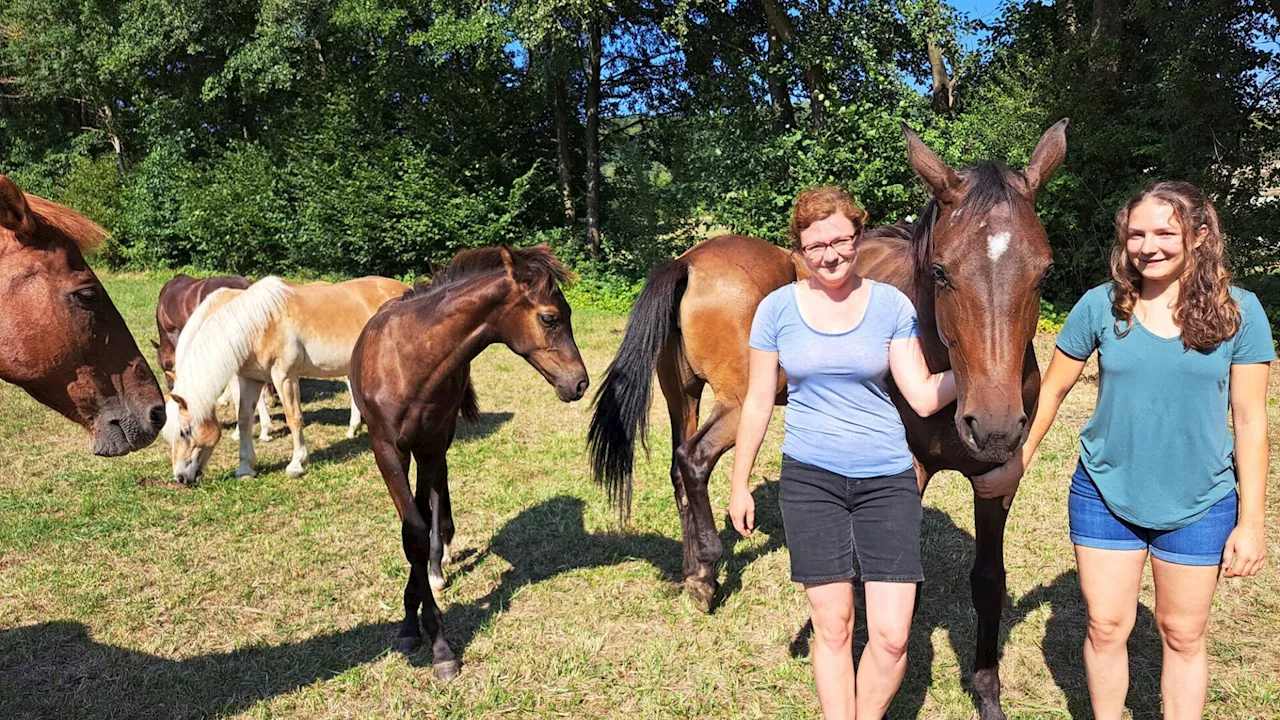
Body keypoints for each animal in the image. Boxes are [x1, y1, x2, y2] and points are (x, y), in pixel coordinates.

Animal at [350, 242, 588, 676]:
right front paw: (415, 630)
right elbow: (411, 531)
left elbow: (421, 520)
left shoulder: (429, 443)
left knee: (436, 493)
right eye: (550, 318)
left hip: (440, 438)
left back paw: (439, 560)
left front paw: (435, 637)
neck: (409, 359)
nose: (579, 383)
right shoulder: (387, 450)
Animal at [588, 120, 1070, 712]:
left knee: (680, 467)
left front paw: (986, 692)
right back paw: (706, 571)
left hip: (684, 395)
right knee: (695, 459)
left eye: (1044, 272)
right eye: (941, 272)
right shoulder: (907, 469)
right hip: (738, 404)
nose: (996, 426)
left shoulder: (998, 477)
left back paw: (693, 573)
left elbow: (987, 581)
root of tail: (690, 262)